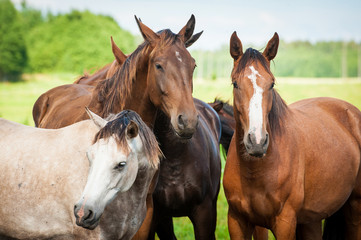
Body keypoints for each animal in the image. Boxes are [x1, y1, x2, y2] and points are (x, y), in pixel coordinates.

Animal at [222, 31, 360, 239]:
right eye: (235, 83)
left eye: (271, 84)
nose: (257, 142)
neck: (256, 171)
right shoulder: (238, 220)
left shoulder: (285, 222)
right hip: (311, 220)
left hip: (354, 208)